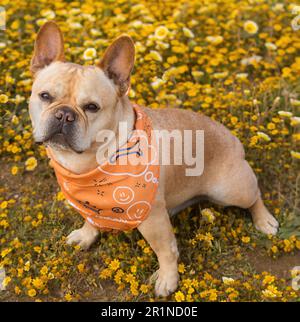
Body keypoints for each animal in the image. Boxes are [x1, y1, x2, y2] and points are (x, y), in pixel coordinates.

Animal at [28, 21, 278, 296]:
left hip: (230, 190)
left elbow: (166, 250)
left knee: (255, 196)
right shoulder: (88, 203)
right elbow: (91, 220)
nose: (64, 114)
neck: (89, 165)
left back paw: (264, 220)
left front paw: (168, 280)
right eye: (45, 96)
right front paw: (86, 235)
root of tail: (235, 141)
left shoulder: (153, 219)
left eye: (92, 107)